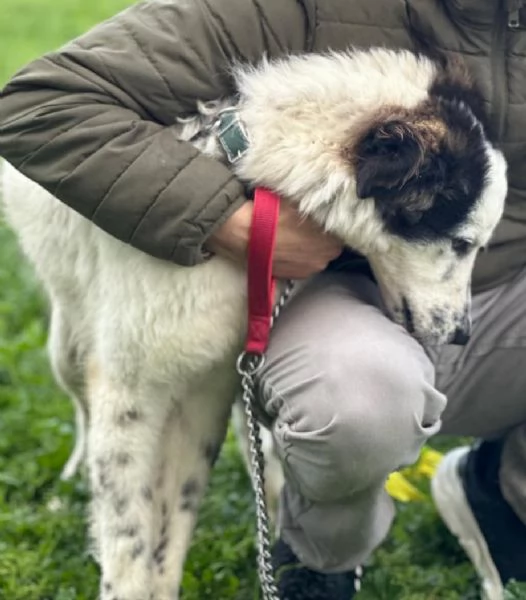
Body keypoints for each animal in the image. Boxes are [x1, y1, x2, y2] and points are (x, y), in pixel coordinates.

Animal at [2, 48, 510, 600]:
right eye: (461, 242)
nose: (462, 334)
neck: (249, 186)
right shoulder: (131, 390)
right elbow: (130, 539)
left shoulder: (206, 384)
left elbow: (173, 526)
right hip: (69, 346)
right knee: (81, 408)